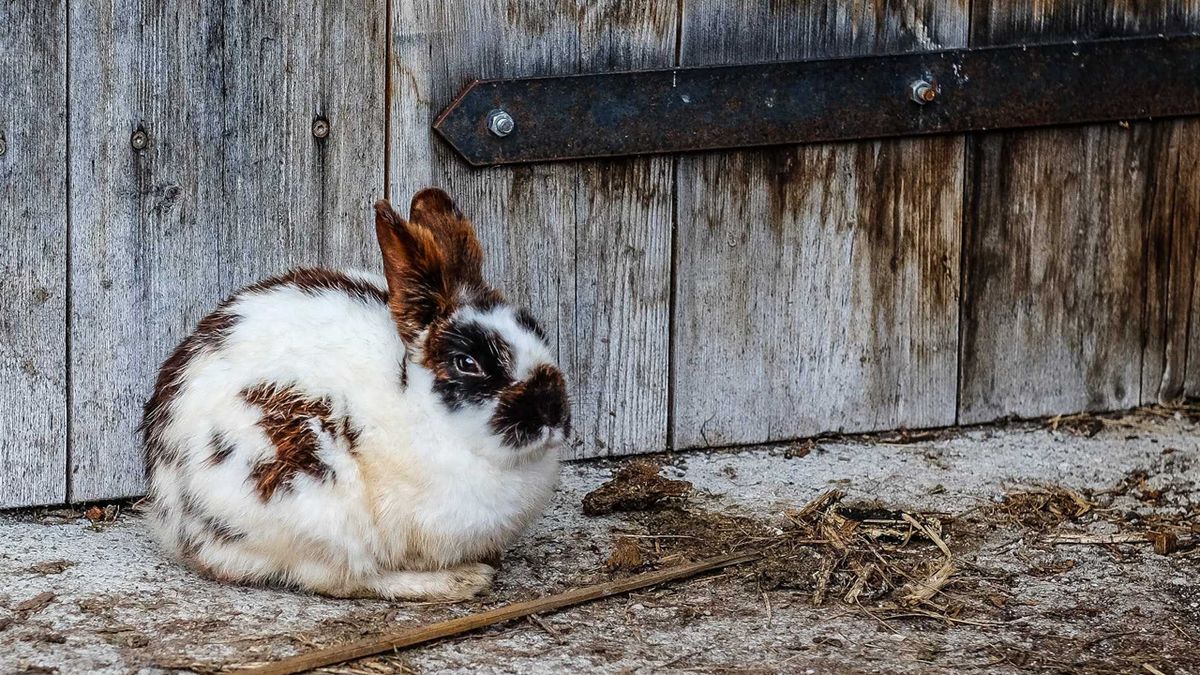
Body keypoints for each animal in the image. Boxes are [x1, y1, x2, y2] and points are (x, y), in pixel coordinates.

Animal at [138, 189, 568, 598]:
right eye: (467, 363)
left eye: (537, 330)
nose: (552, 411)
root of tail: (173, 516)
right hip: (312, 496)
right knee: (345, 578)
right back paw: (460, 581)